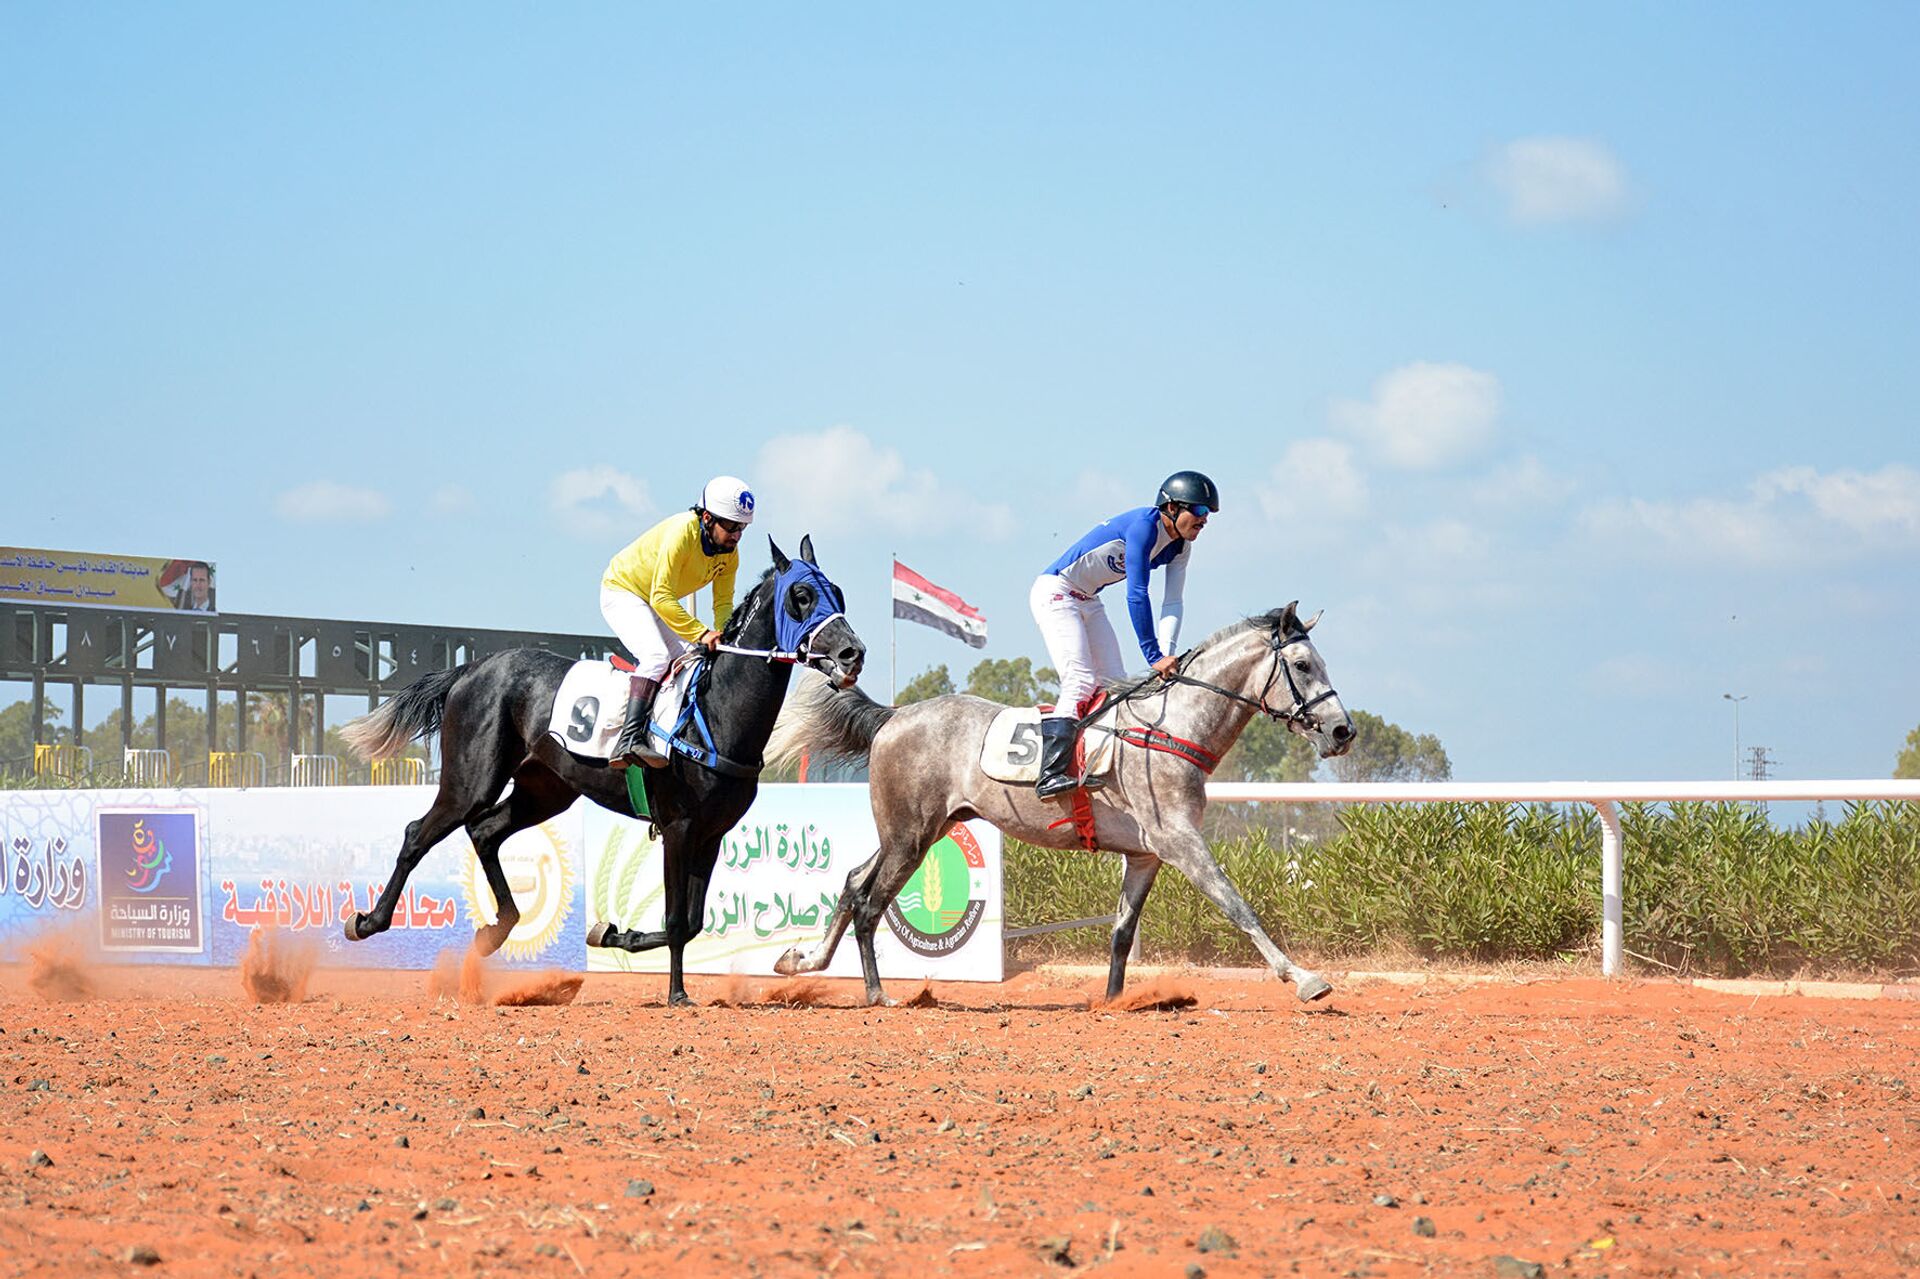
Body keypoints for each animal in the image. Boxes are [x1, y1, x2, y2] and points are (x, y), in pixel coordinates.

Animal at [337, 533, 864, 998]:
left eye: (838, 593)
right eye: (801, 595)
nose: (852, 653)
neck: (714, 712)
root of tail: (470, 668)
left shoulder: (712, 833)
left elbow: (692, 923)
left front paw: (612, 934)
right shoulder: (679, 826)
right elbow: (677, 921)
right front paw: (677, 993)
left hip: (545, 790)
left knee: (485, 831)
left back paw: (496, 930)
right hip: (471, 781)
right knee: (418, 834)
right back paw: (367, 922)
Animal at [756, 599, 1359, 1006]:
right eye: (1303, 666)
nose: (1342, 731)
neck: (1171, 728)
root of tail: (893, 716)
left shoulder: (1146, 855)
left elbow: (1122, 933)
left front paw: (1113, 1001)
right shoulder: (1180, 842)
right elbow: (1238, 906)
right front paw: (1305, 978)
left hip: (920, 829)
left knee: (854, 881)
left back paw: (801, 960)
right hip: (910, 835)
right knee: (869, 902)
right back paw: (877, 994)